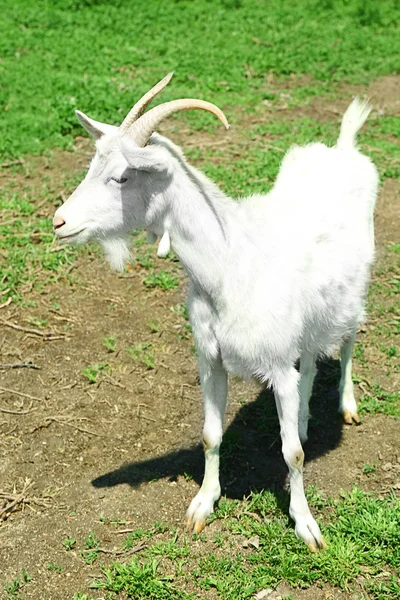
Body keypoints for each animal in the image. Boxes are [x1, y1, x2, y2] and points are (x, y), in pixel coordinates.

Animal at [54, 75, 378, 552]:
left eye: (123, 176)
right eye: (92, 166)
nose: (58, 222)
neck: (231, 265)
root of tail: (343, 148)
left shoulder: (276, 364)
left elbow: (293, 455)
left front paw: (306, 526)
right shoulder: (211, 359)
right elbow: (210, 435)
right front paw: (202, 505)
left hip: (355, 293)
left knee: (350, 340)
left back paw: (347, 405)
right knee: (311, 360)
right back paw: (301, 419)